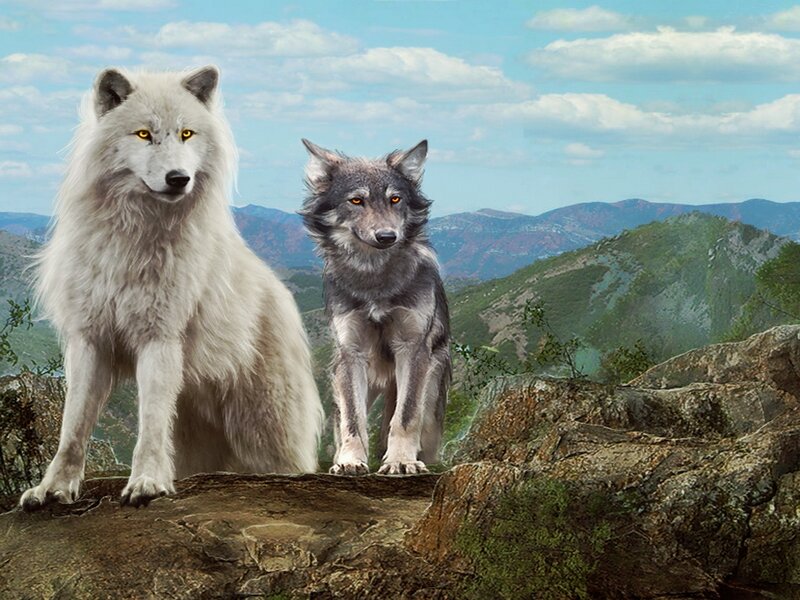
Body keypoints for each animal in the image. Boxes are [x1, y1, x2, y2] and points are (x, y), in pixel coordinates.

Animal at [20, 66, 323, 510]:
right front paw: (53, 489)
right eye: (144, 134)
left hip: (264, 433)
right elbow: (72, 427)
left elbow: (149, 422)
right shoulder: (89, 340)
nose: (179, 178)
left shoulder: (159, 339)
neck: (134, 235)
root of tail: (280, 292)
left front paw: (146, 483)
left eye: (186, 134)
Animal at [300, 139, 451, 475]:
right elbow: (353, 421)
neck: (374, 279)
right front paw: (350, 461)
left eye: (395, 199)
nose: (386, 236)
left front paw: (401, 461)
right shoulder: (351, 352)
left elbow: (406, 416)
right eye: (357, 201)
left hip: (432, 383)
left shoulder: (412, 348)